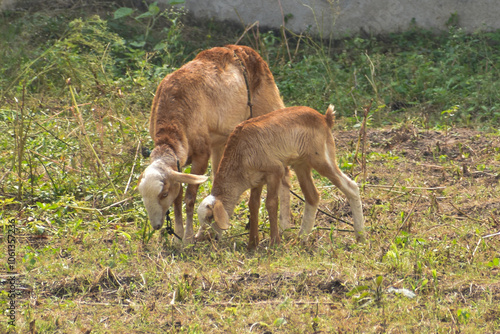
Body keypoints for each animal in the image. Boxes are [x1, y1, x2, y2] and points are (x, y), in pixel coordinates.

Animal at [139, 44, 292, 243]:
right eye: (142, 195)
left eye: (163, 194)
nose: (157, 226)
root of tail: (242, 49)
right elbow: (178, 197)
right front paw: (179, 236)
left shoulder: (202, 155)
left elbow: (189, 198)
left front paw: (187, 238)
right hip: (221, 141)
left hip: (269, 110)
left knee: (286, 172)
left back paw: (285, 226)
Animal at [196, 105, 368, 249]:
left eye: (210, 217)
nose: (203, 240)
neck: (240, 155)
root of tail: (325, 118)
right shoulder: (256, 180)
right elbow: (253, 205)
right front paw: (252, 243)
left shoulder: (276, 171)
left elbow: (271, 203)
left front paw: (274, 243)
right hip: (301, 164)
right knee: (312, 196)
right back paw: (301, 240)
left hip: (322, 158)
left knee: (351, 186)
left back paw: (361, 237)